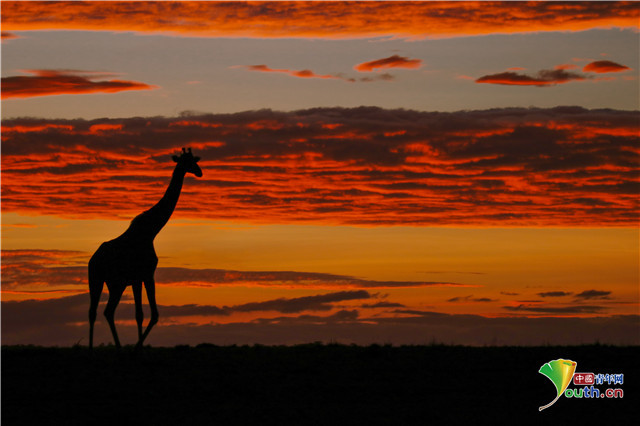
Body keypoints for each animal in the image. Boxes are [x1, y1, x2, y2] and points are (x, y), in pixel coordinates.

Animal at [88, 148, 202, 348]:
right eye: (187, 162)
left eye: (194, 160)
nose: (200, 172)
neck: (150, 231)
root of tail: (92, 260)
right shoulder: (147, 274)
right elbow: (153, 315)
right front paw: (136, 348)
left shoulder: (137, 279)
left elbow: (139, 315)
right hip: (110, 282)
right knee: (104, 312)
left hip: (102, 282)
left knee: (97, 312)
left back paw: (97, 348)